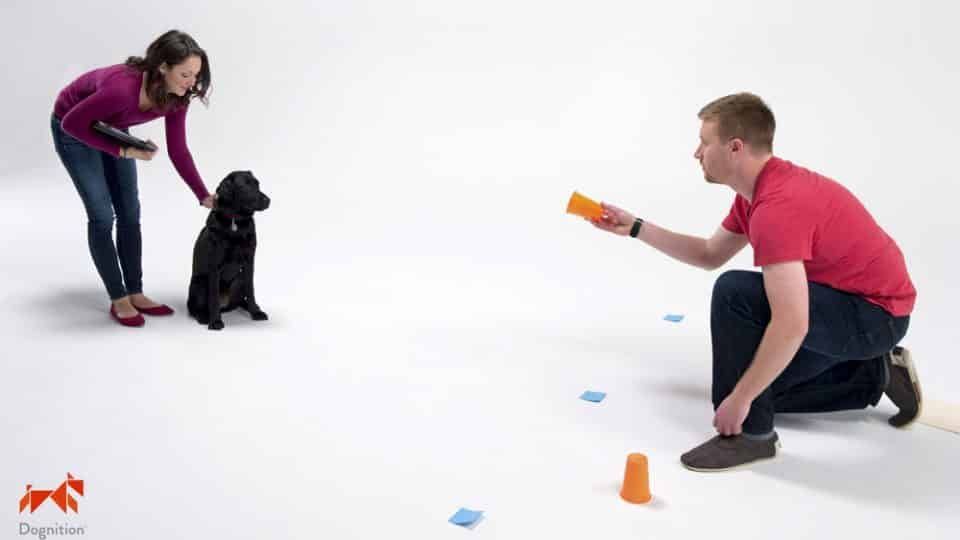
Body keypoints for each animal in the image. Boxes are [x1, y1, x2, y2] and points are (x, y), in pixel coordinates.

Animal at [187, 170, 270, 330]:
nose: (268, 200)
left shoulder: (249, 261)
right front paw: (215, 322)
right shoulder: (215, 265)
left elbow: (251, 290)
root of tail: (225, 305)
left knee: (240, 300)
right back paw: (204, 317)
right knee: (194, 309)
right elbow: (213, 297)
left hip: (239, 279)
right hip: (199, 284)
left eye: (257, 184)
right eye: (245, 187)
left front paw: (256, 312)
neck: (235, 222)